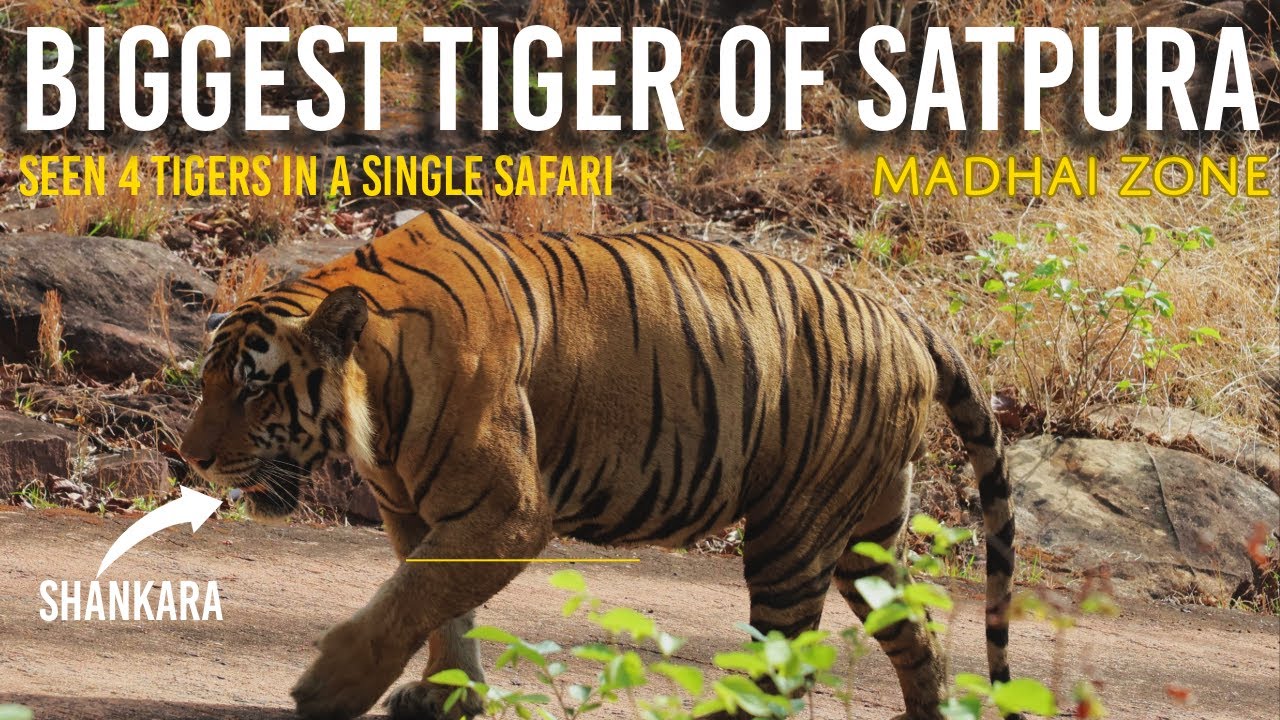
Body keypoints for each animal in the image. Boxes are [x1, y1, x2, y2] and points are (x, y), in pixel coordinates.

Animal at [180, 209, 1017, 720]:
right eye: (208, 380)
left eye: (253, 386)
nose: (193, 458)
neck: (378, 395)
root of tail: (902, 317)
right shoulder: (416, 511)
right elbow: (437, 604)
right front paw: (450, 696)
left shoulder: (508, 513)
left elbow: (411, 598)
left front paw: (330, 686)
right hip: (865, 539)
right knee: (920, 633)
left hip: (794, 533)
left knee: (785, 662)